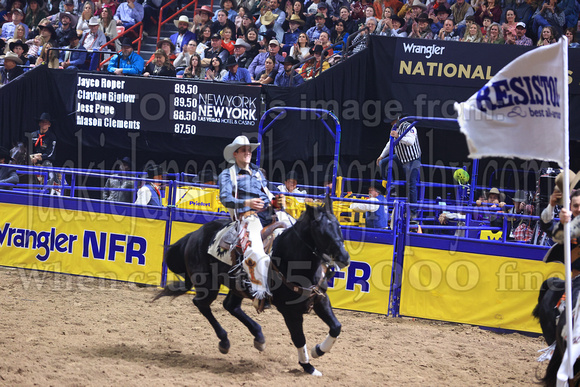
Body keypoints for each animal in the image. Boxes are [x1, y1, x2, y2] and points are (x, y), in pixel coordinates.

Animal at [154, 197, 352, 376]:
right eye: (320, 230)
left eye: (338, 226)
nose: (344, 257)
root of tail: (194, 235)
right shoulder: (290, 312)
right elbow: (298, 338)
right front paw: (307, 366)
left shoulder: (320, 299)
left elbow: (336, 326)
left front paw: (318, 350)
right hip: (208, 285)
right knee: (201, 304)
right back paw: (225, 341)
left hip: (237, 285)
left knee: (230, 306)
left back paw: (258, 336)